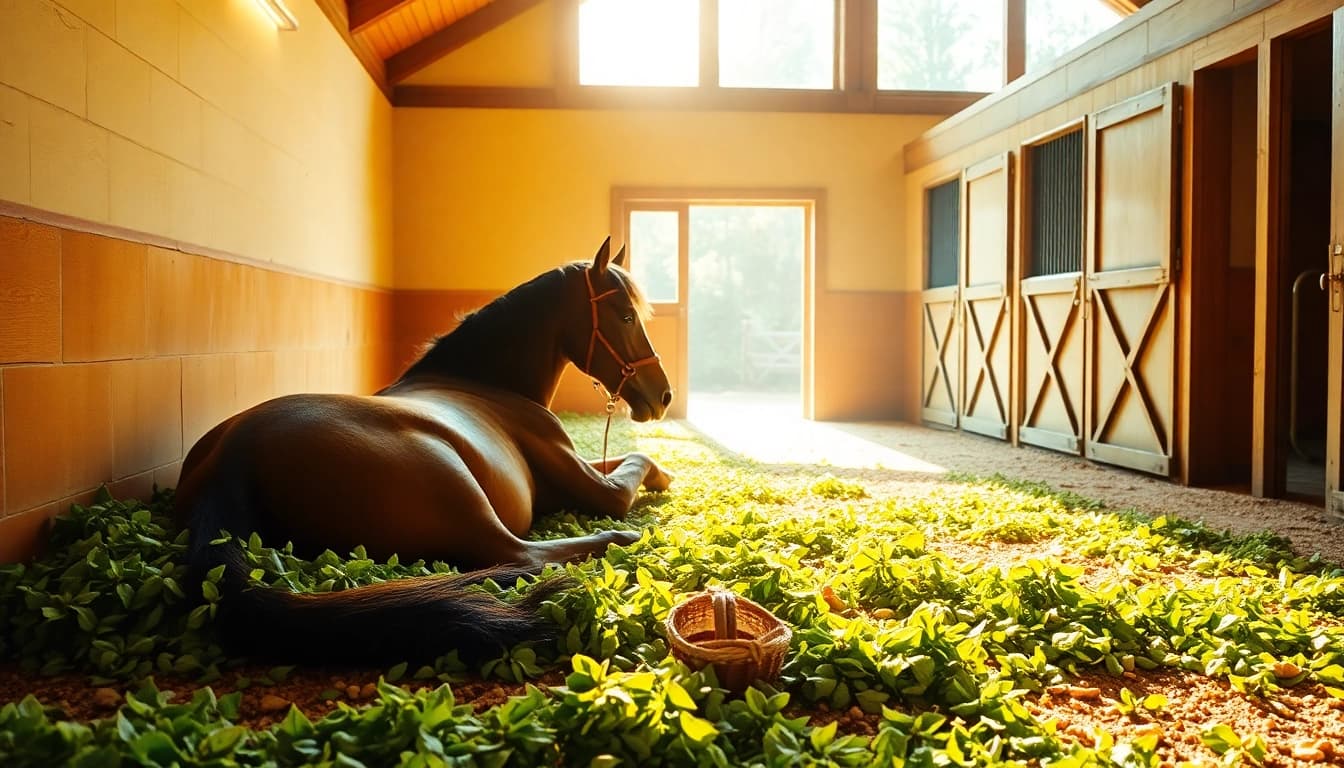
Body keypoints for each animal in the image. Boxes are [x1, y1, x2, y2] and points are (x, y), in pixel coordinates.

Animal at [173, 237, 674, 663]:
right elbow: (636, 463)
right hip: (453, 477)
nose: (664, 395)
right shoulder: (595, 488)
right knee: (520, 556)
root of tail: (234, 455)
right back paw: (623, 540)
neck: (485, 382)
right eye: (625, 316)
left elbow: (632, 460)